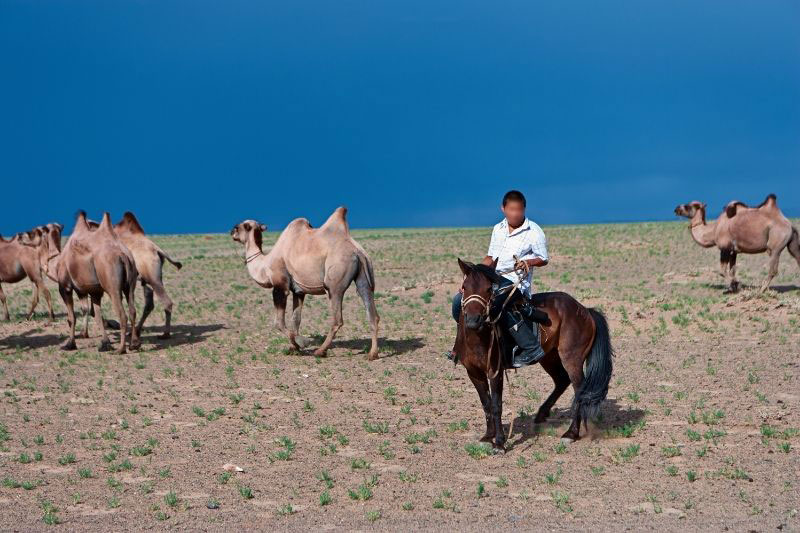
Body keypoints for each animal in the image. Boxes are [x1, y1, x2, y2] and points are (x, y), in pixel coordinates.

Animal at [454, 258, 614, 452]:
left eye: (489, 289)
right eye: (465, 287)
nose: (473, 320)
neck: (477, 337)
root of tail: (585, 310)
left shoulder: (495, 371)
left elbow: (496, 404)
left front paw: (499, 442)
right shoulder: (474, 373)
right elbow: (486, 403)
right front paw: (487, 436)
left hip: (571, 359)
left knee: (580, 390)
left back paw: (571, 433)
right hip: (549, 357)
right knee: (562, 380)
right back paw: (542, 414)